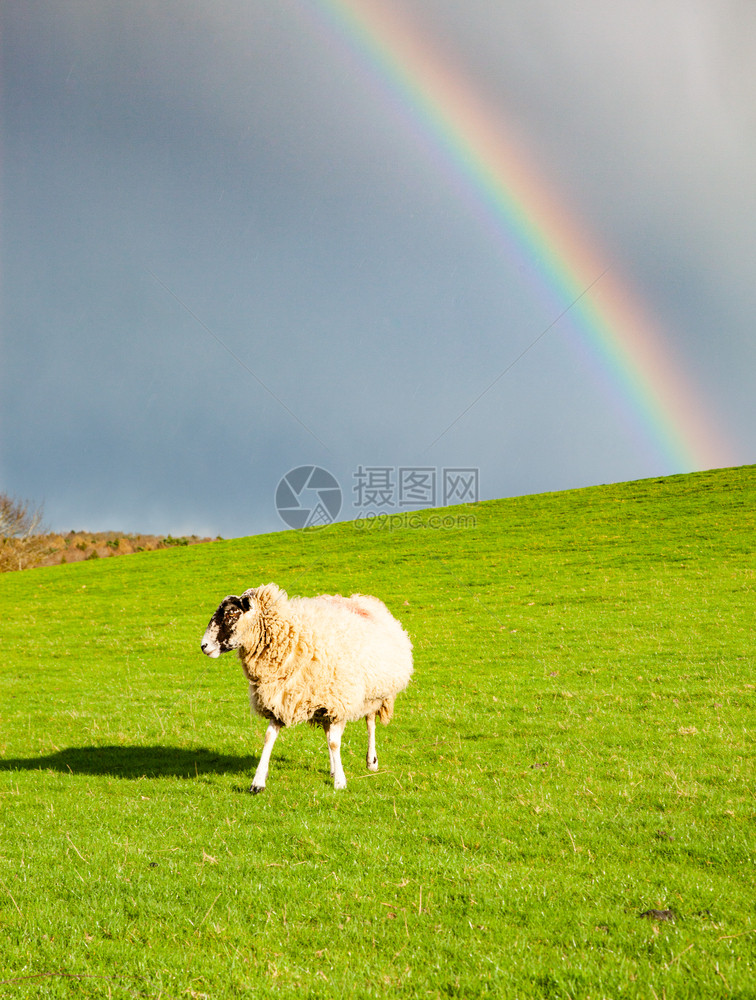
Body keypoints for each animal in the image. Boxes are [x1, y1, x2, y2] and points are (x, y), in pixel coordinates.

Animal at [201, 584, 414, 792]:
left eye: (231, 613)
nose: (204, 646)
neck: (293, 638)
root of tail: (361, 598)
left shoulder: (338, 701)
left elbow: (335, 742)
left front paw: (340, 783)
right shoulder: (282, 698)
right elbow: (269, 738)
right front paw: (258, 782)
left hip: (374, 693)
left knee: (370, 723)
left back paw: (371, 761)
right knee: (329, 733)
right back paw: (333, 769)